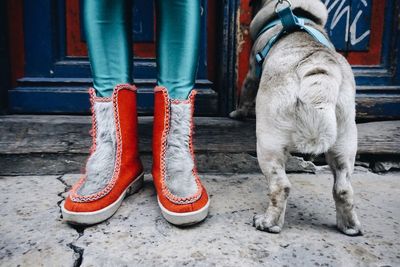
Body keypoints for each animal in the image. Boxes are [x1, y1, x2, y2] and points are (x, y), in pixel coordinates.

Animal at [230, 0, 360, 236]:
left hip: (268, 143)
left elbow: (245, 93)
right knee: (343, 188)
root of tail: (317, 67)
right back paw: (349, 227)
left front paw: (238, 113)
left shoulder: (252, 71)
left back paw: (268, 223)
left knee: (280, 186)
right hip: (345, 140)